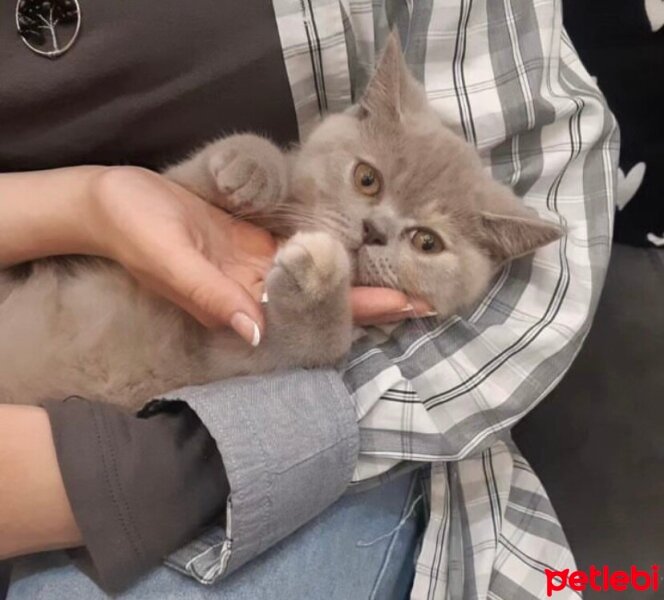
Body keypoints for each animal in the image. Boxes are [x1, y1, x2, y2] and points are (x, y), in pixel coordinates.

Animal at [0, 35, 560, 410]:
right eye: (367, 179)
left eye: (426, 242)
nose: (374, 231)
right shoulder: (173, 193)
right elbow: (186, 182)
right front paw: (251, 168)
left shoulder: (221, 363)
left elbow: (306, 347)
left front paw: (314, 282)